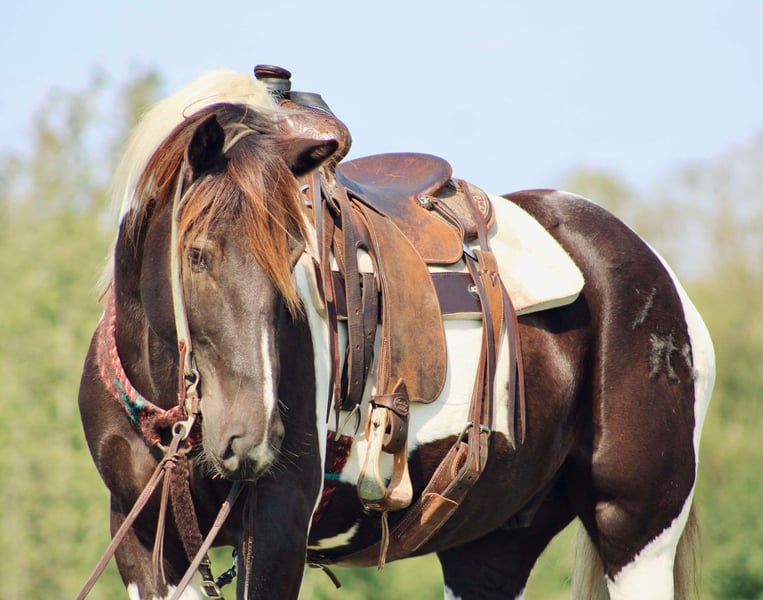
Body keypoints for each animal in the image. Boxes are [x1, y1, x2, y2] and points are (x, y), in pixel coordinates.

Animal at [78, 68, 714, 600]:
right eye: (197, 255)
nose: (252, 438)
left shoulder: (278, 524)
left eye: (295, 256)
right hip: (494, 544)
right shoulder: (146, 545)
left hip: (635, 528)